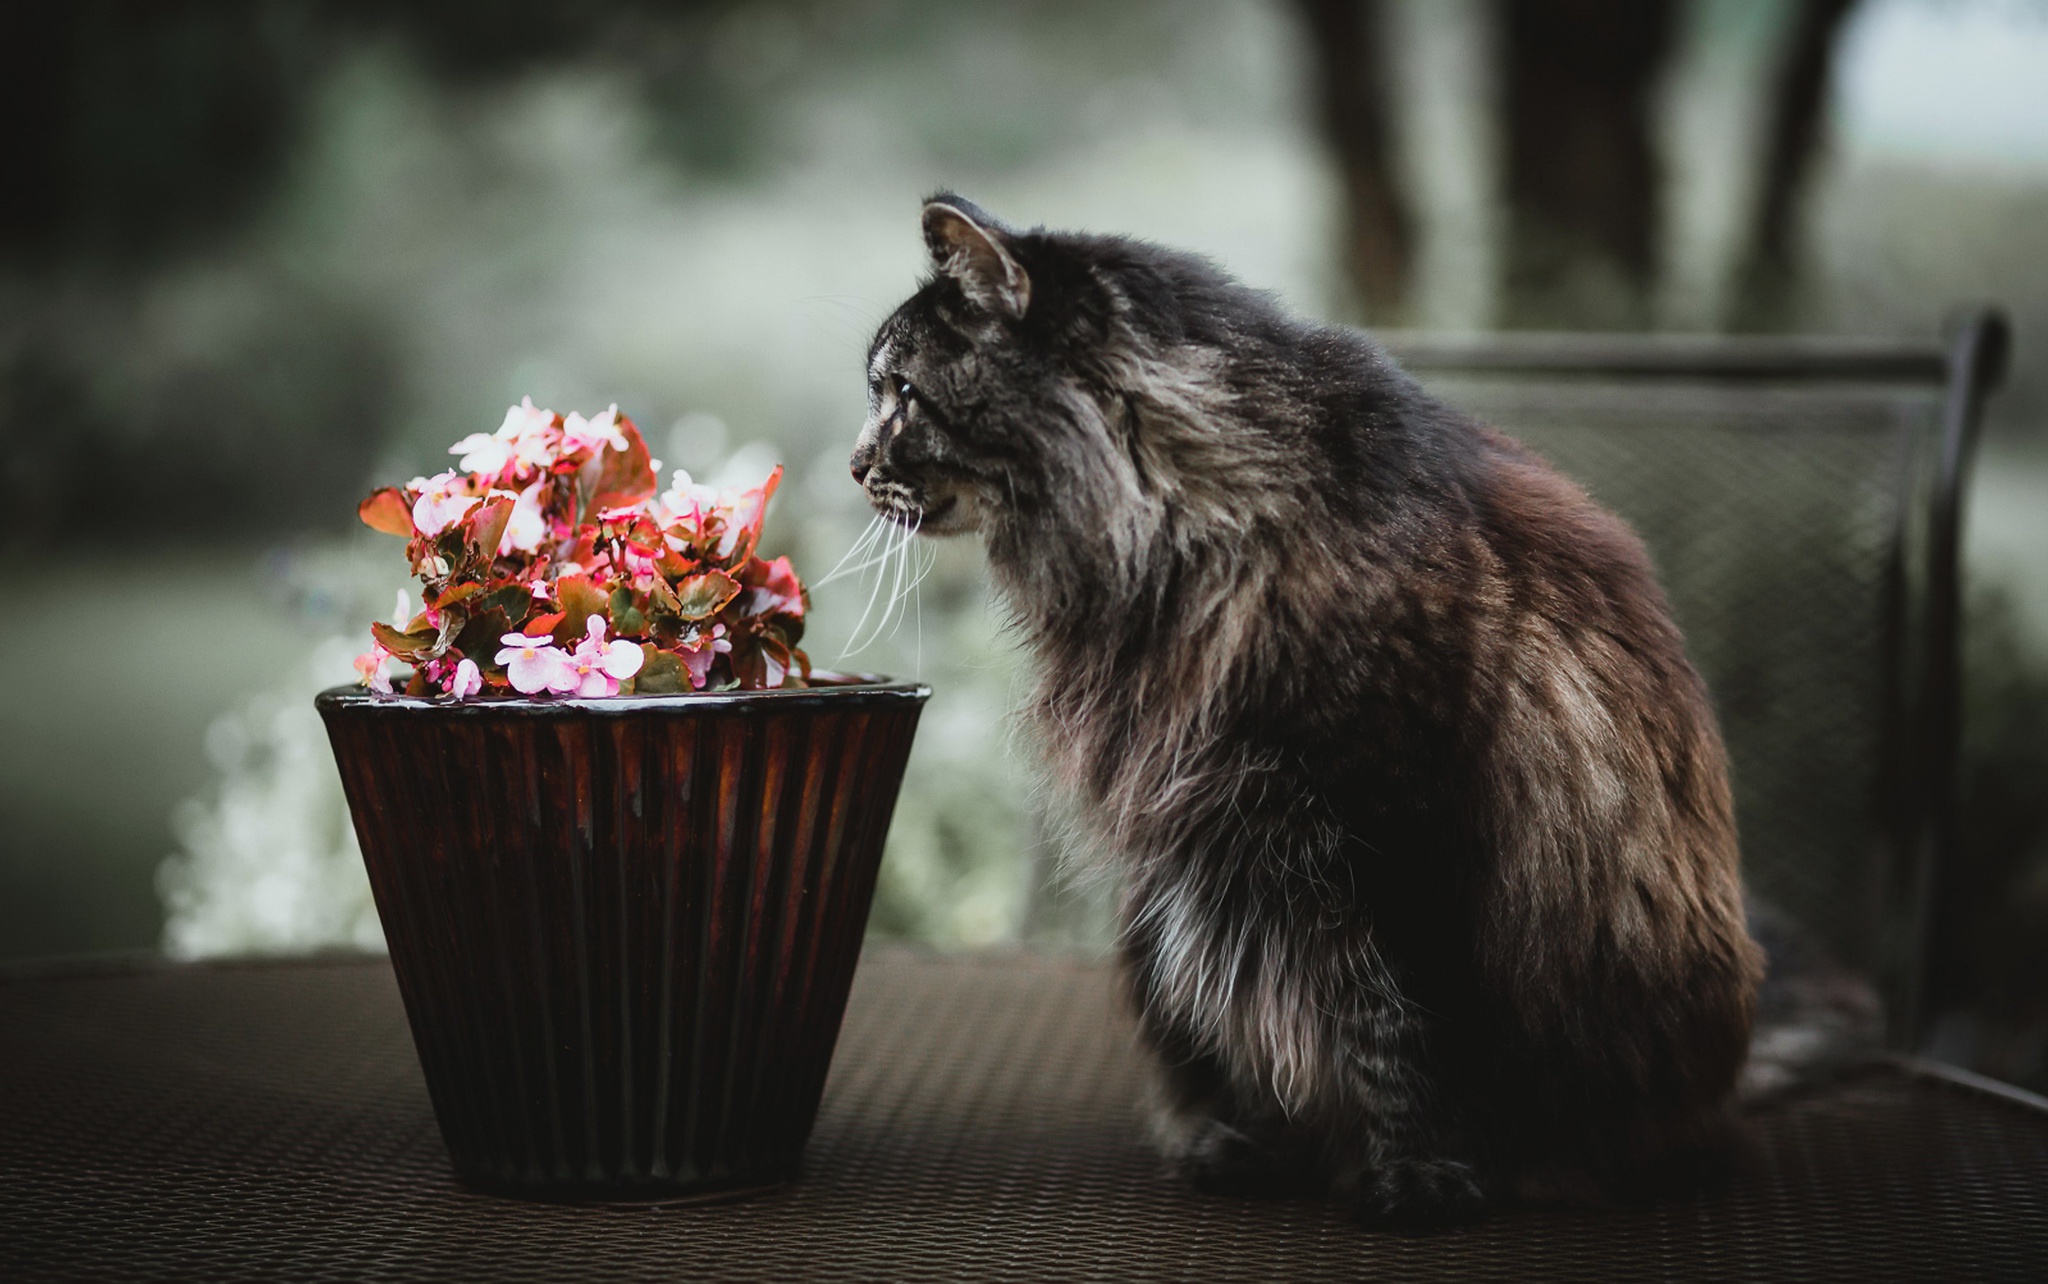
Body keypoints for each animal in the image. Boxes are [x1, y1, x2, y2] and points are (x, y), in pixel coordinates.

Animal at [856, 195, 1769, 1228]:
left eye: (901, 393)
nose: (854, 465)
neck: (1192, 538)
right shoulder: (1224, 856)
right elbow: (1259, 1016)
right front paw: (1262, 1143)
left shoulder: (1383, 824)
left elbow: (1397, 1028)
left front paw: (1419, 1179)